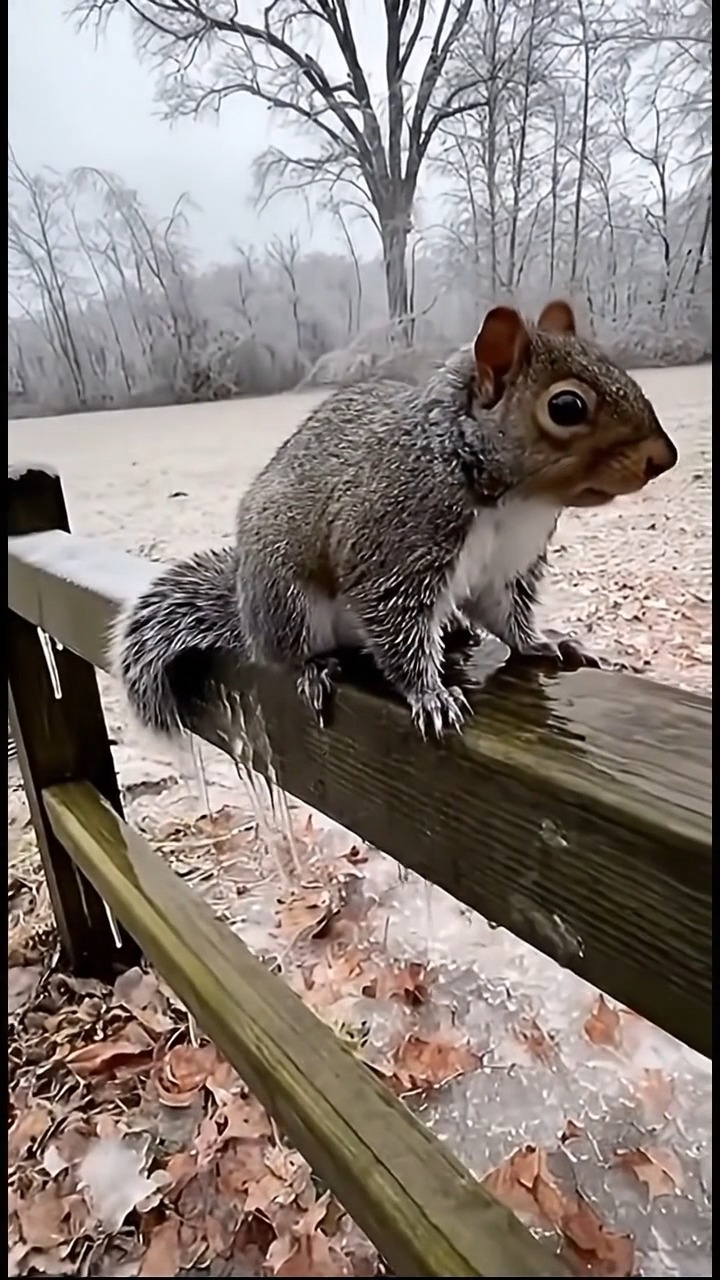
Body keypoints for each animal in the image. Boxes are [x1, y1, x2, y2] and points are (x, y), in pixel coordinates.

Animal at [113, 299, 677, 740]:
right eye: (566, 407)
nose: (664, 458)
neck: (511, 500)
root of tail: (246, 612)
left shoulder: (507, 563)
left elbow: (505, 613)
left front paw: (539, 642)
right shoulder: (394, 548)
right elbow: (395, 627)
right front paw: (430, 695)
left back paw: (454, 632)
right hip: (287, 601)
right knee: (287, 650)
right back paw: (315, 667)